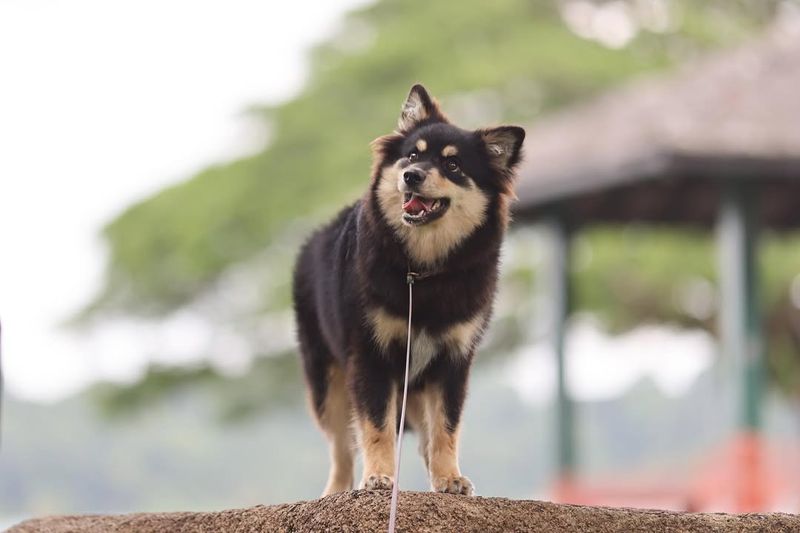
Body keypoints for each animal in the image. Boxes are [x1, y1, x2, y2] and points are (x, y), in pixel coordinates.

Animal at [294, 83, 524, 494]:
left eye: (453, 166)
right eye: (412, 155)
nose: (412, 176)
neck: (423, 270)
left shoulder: (453, 359)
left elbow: (446, 428)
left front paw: (449, 478)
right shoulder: (370, 354)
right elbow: (376, 426)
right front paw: (378, 477)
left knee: (424, 439)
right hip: (326, 380)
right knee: (341, 448)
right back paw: (336, 491)